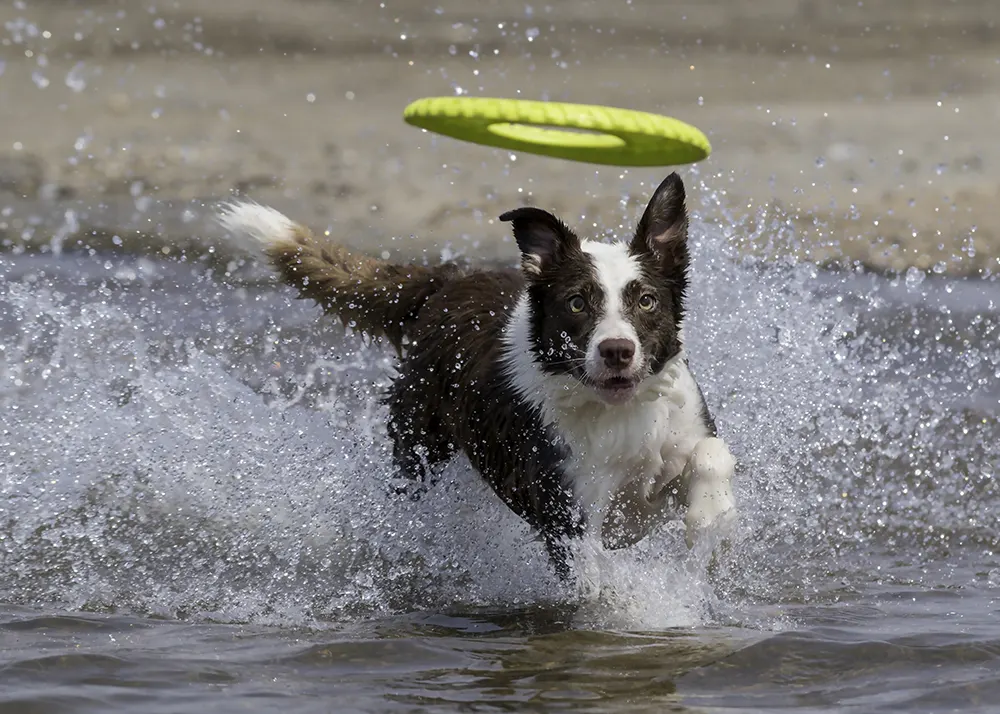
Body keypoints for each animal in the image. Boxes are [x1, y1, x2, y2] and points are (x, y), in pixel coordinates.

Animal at [219, 172, 736, 580]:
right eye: (576, 302)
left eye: (646, 300)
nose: (617, 351)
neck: (619, 412)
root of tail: (444, 282)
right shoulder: (568, 514)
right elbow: (594, 578)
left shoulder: (675, 439)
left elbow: (712, 452)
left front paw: (711, 515)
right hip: (418, 448)